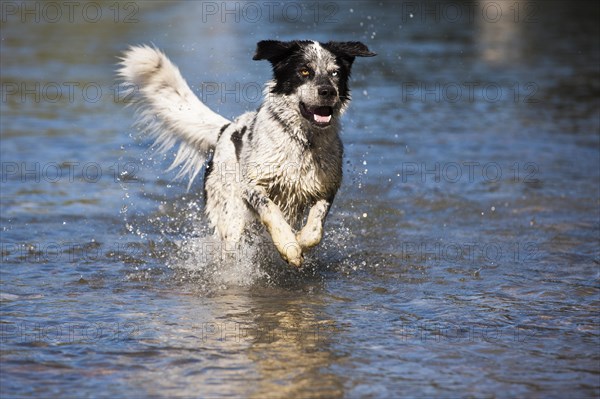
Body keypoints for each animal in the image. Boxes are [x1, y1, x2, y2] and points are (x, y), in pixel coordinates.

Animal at [117, 40, 376, 268]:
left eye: (335, 73)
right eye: (304, 71)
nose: (327, 91)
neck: (303, 142)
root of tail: (225, 129)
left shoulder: (327, 187)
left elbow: (315, 228)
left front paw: (300, 241)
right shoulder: (252, 186)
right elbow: (271, 211)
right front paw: (289, 247)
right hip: (230, 215)